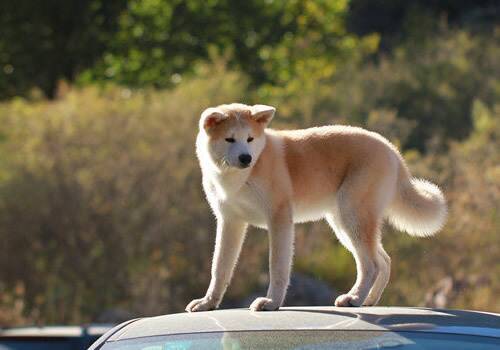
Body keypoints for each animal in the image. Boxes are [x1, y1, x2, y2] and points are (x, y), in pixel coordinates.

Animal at [186, 103, 448, 312]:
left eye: (250, 139)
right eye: (230, 139)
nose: (246, 158)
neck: (237, 179)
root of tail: (392, 151)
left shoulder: (279, 218)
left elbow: (277, 267)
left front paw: (271, 303)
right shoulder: (230, 222)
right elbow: (219, 268)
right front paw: (207, 303)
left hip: (352, 217)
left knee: (371, 264)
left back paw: (354, 298)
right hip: (344, 223)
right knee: (383, 261)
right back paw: (369, 300)